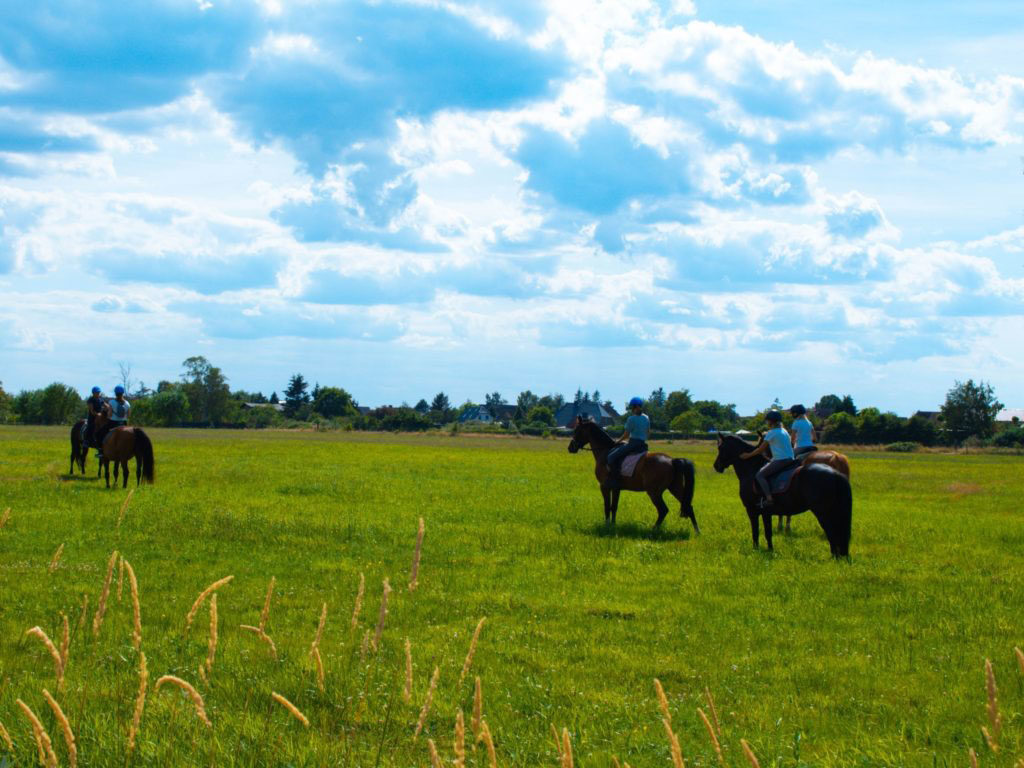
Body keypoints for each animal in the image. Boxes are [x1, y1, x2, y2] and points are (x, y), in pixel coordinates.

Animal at [565, 415, 700, 536]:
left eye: (577, 431)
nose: (570, 447)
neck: (605, 451)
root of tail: (671, 461)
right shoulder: (616, 488)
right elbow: (614, 507)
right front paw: (613, 525)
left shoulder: (604, 487)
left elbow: (607, 506)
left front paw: (607, 525)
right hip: (675, 488)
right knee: (688, 506)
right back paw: (697, 532)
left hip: (654, 492)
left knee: (663, 510)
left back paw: (653, 530)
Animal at [712, 434, 847, 561]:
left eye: (721, 447)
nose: (716, 466)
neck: (751, 470)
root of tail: (834, 471)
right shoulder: (766, 512)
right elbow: (768, 532)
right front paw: (770, 550)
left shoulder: (752, 511)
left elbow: (756, 531)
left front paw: (756, 549)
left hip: (824, 512)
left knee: (832, 532)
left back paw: (834, 557)